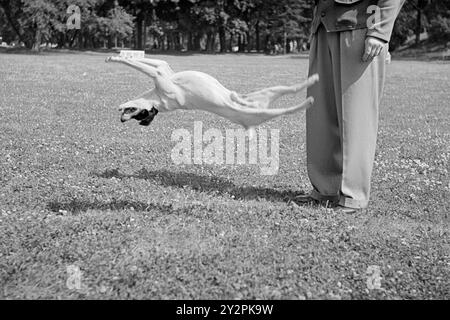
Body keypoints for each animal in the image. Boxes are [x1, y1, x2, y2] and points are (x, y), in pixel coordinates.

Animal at [106, 55, 318, 133]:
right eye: (139, 116)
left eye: (134, 112)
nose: (122, 120)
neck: (156, 100)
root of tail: (259, 105)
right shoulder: (160, 75)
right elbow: (141, 64)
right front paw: (117, 57)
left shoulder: (162, 70)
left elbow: (146, 63)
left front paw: (116, 56)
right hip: (260, 113)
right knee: (288, 107)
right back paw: (309, 99)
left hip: (269, 94)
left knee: (290, 90)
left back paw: (312, 81)